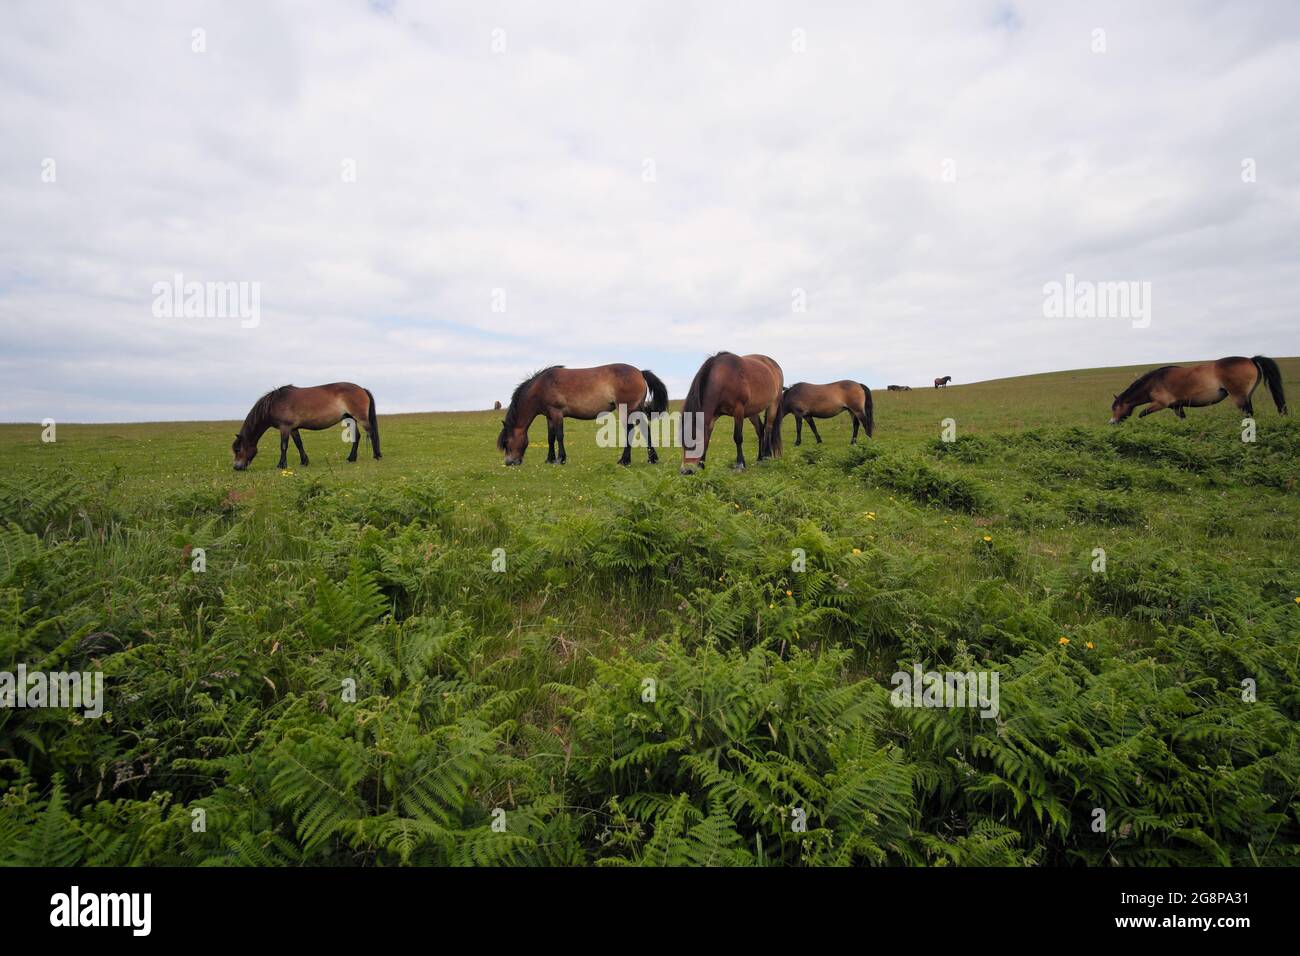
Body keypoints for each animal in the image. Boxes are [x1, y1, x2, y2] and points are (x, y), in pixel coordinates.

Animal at [232, 383, 380, 470]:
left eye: (238, 449)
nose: (236, 467)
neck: (275, 403)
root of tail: (362, 389)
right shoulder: (293, 429)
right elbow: (299, 444)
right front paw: (304, 462)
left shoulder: (285, 428)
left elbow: (283, 446)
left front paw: (281, 465)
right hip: (350, 418)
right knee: (357, 436)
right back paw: (351, 458)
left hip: (360, 418)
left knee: (371, 433)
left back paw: (377, 456)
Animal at [497, 364, 668, 466]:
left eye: (506, 442)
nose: (509, 462)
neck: (541, 386)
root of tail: (640, 372)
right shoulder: (549, 416)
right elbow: (550, 437)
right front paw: (549, 459)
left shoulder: (557, 413)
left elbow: (559, 436)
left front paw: (561, 459)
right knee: (645, 429)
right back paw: (652, 458)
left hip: (626, 409)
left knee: (630, 430)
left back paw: (624, 460)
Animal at [1110, 356, 1287, 424]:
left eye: (1115, 408)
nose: (1111, 422)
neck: (1154, 382)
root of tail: (1251, 359)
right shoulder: (1177, 407)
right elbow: (1183, 420)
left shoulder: (1160, 404)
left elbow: (1141, 414)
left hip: (1239, 397)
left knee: (1248, 413)